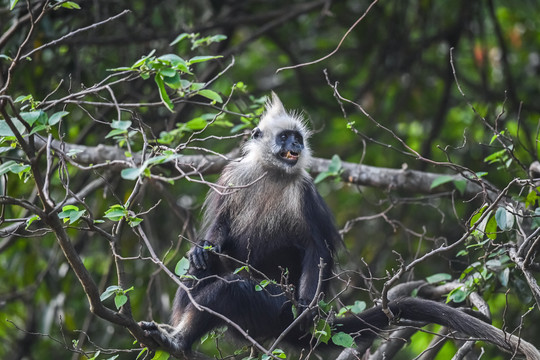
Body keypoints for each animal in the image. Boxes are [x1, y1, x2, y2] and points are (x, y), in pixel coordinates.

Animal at [140, 94, 540, 358]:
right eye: (285, 137)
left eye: (297, 139)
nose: (295, 144)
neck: (274, 174)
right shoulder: (236, 176)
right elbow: (219, 229)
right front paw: (203, 248)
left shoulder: (304, 192)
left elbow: (315, 248)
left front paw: (307, 305)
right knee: (204, 270)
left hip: (273, 310)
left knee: (230, 291)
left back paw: (182, 338)